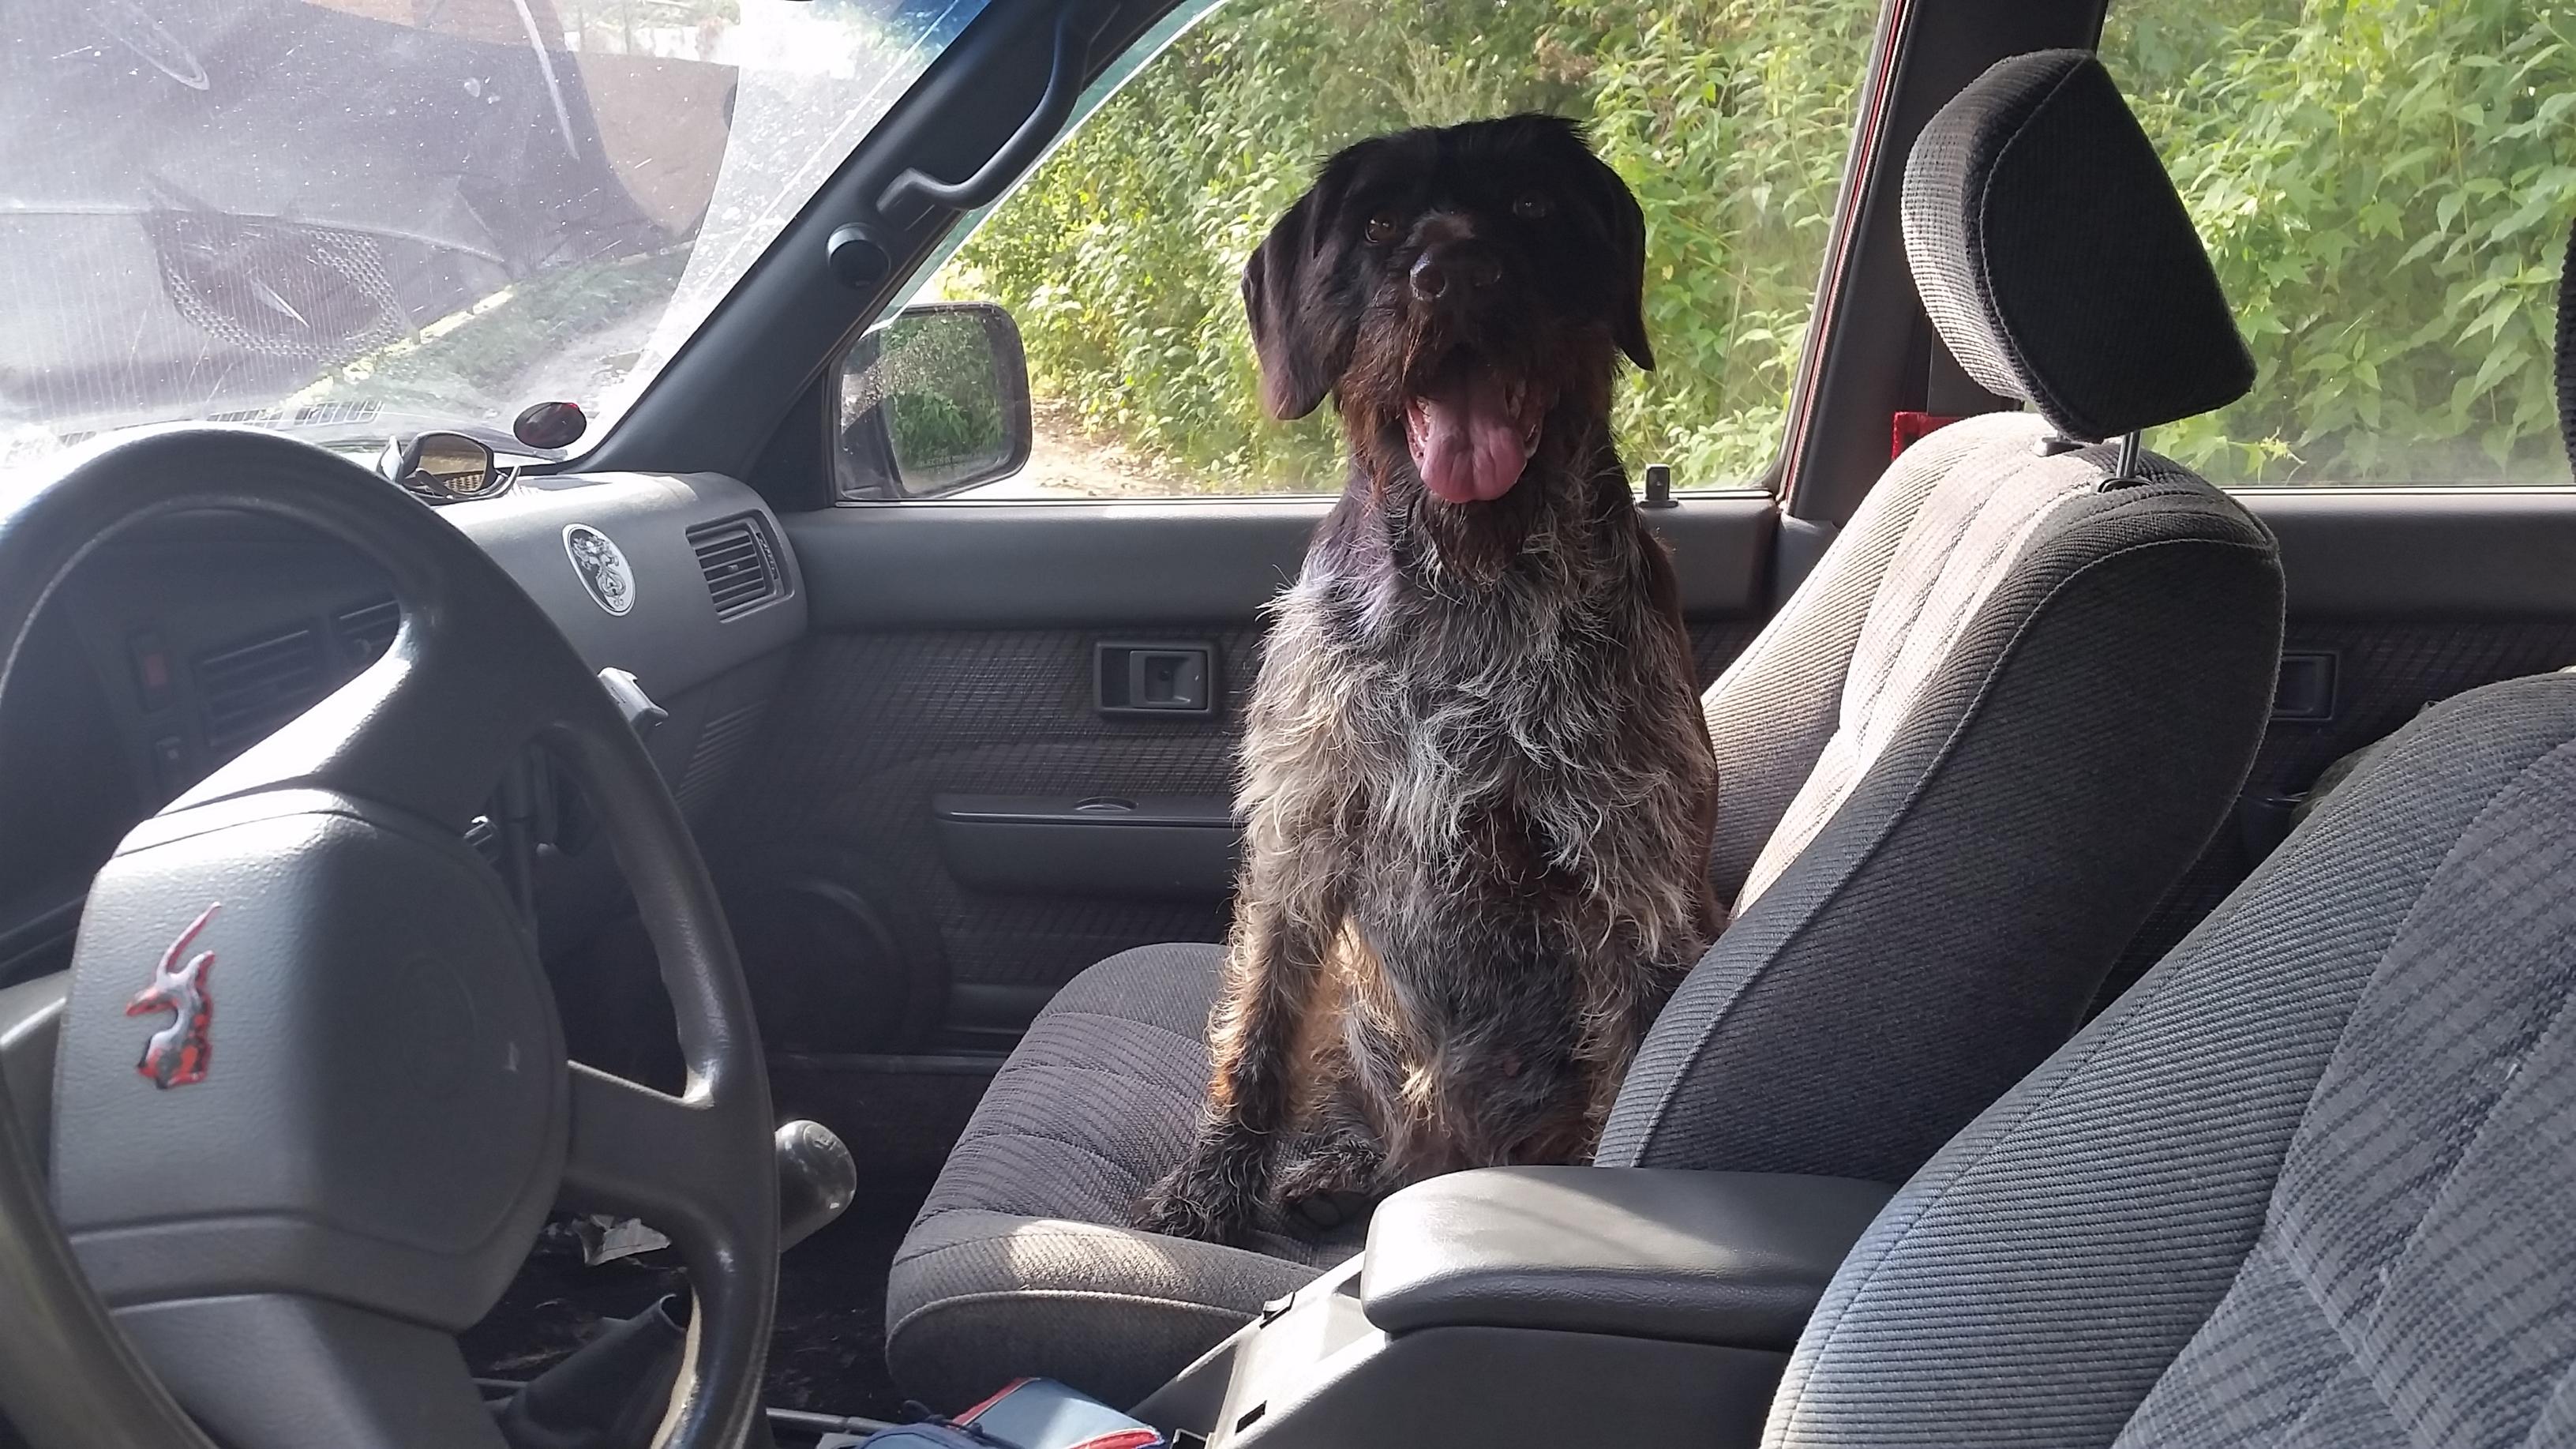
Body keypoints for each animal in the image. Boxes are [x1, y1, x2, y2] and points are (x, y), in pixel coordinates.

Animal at [1134, 115, 1722, 1246]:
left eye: (1531, 206)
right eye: (1375, 225)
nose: (1453, 273)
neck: (1468, 578)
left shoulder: (1634, 874)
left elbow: (1635, 1048)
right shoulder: (1302, 832)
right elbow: (1258, 1026)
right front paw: (1206, 1191)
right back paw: (1337, 1166)